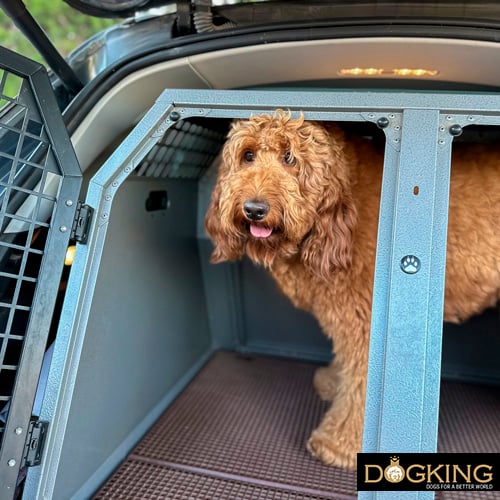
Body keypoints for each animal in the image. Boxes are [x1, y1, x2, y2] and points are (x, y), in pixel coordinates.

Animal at [203, 109, 500, 468]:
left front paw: (339, 443)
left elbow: (363, 384)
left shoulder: (367, 321)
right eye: (248, 155)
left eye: (290, 157)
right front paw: (334, 382)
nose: (254, 209)